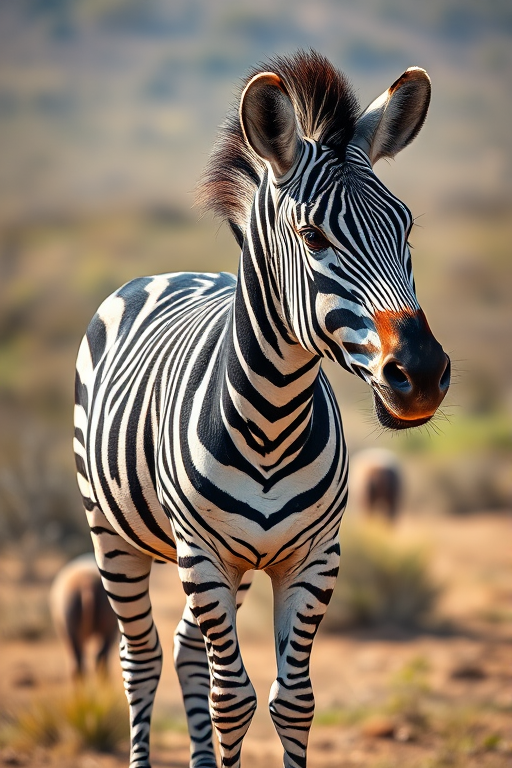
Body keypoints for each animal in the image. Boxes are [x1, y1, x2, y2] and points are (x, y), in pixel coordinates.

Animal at [74, 51, 450, 768]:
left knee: (187, 654)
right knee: (142, 662)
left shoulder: (314, 557)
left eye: (408, 226)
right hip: (113, 536)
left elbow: (292, 701)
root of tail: (171, 274)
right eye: (312, 235)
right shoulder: (201, 555)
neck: (273, 420)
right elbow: (233, 702)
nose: (420, 376)